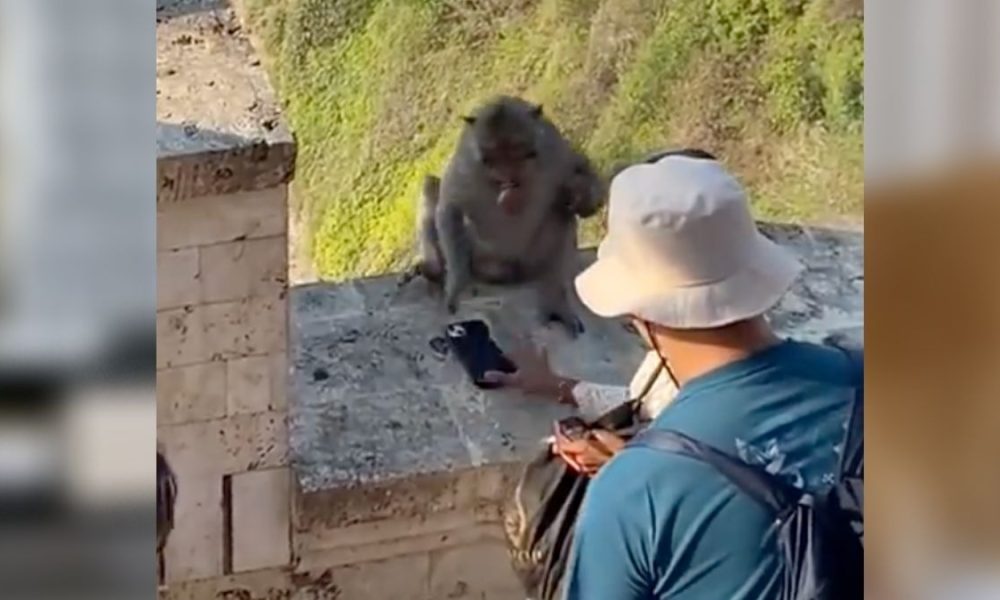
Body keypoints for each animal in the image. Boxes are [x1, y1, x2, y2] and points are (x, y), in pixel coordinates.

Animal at [408, 96, 608, 336]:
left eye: (516, 153)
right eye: (492, 158)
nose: (506, 177)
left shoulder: (554, 149)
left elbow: (581, 184)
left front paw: (580, 194)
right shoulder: (466, 165)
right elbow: (450, 207)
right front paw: (458, 283)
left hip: (531, 261)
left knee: (561, 213)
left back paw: (556, 299)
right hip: (485, 260)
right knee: (430, 186)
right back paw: (434, 270)